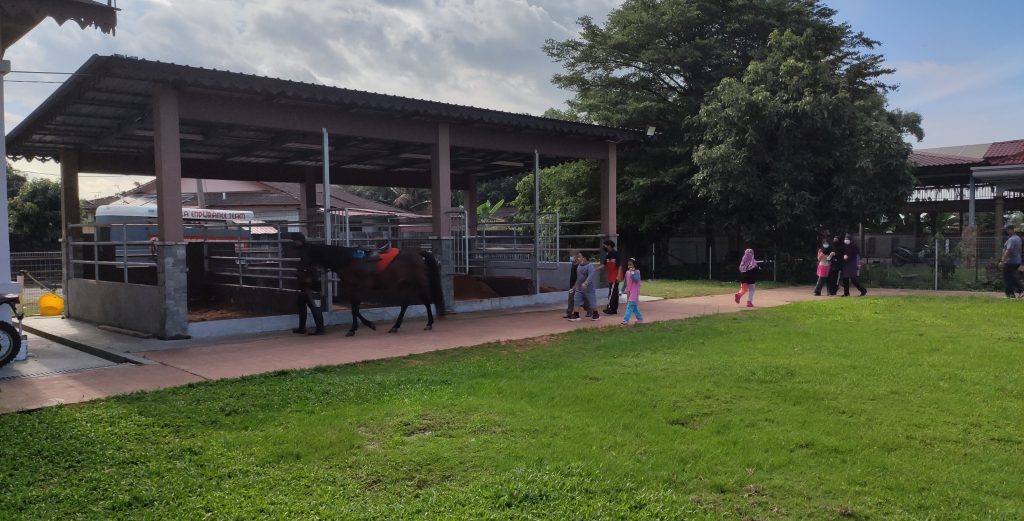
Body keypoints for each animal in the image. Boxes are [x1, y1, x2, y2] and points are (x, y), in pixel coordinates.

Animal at [292, 236, 444, 335]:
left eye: (303, 255)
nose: (298, 271)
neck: (346, 261)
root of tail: (417, 253)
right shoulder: (354, 289)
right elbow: (355, 309)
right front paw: (358, 327)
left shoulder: (354, 288)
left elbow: (355, 310)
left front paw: (362, 327)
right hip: (405, 284)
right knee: (405, 305)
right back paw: (395, 326)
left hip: (417, 283)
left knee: (426, 301)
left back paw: (429, 324)